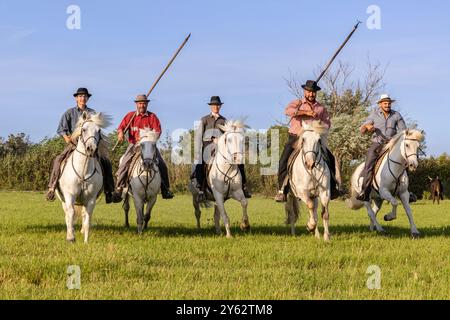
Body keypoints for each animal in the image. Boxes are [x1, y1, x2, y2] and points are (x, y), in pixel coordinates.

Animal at [57, 112, 111, 242]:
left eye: (99, 130)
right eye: (84, 129)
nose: (91, 149)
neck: (83, 171)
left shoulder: (91, 199)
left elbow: (87, 218)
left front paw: (86, 240)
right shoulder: (69, 195)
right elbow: (71, 214)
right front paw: (71, 237)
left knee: (82, 214)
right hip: (63, 199)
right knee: (67, 214)